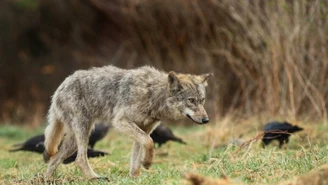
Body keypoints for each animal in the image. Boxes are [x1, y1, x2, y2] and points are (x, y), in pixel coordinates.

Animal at [43, 65, 213, 179]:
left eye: (202, 100)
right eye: (191, 100)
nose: (206, 120)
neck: (152, 94)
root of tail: (60, 87)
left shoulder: (143, 129)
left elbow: (136, 157)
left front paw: (135, 176)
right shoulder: (121, 121)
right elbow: (149, 142)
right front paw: (147, 163)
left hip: (73, 142)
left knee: (53, 159)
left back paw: (46, 179)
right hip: (84, 132)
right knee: (79, 159)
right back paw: (95, 178)